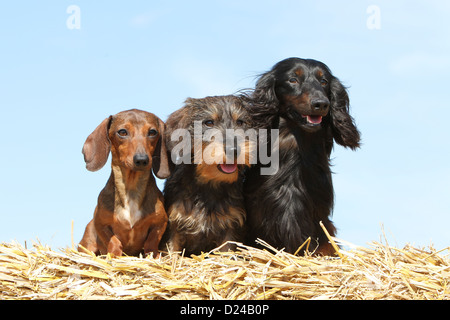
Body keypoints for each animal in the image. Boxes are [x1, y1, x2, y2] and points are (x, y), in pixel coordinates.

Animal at [78, 110, 170, 258]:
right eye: (122, 132)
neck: (131, 189)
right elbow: (114, 241)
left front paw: (153, 256)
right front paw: (114, 255)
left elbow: (151, 242)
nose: (141, 159)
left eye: (152, 132)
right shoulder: (100, 224)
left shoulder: (160, 222)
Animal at [162, 95, 255, 255]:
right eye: (209, 122)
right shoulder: (173, 224)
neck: (209, 184)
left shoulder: (231, 228)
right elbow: (171, 252)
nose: (233, 150)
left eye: (240, 122)